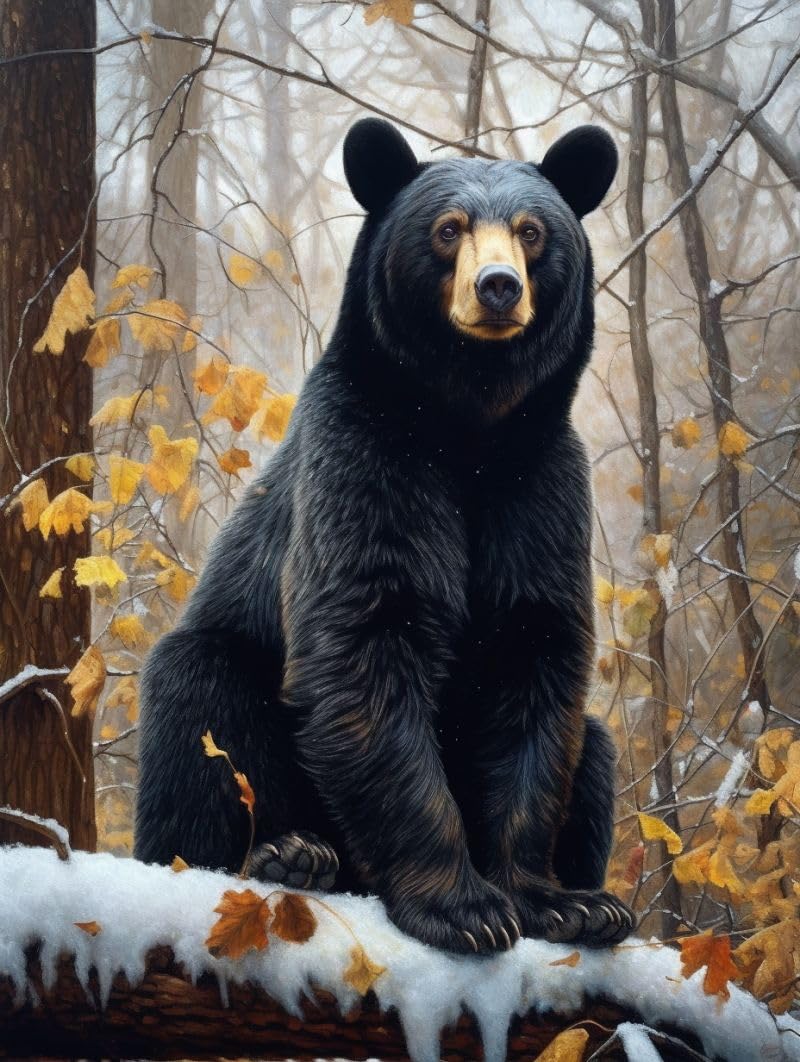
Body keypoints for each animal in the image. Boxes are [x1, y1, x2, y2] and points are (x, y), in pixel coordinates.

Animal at [134, 118, 635, 955]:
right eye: (448, 229)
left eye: (532, 232)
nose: (497, 286)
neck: (467, 427)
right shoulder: (367, 458)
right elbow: (367, 639)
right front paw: (462, 906)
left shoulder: (539, 487)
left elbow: (535, 656)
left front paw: (560, 902)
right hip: (217, 678)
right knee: (198, 718)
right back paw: (287, 853)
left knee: (593, 752)